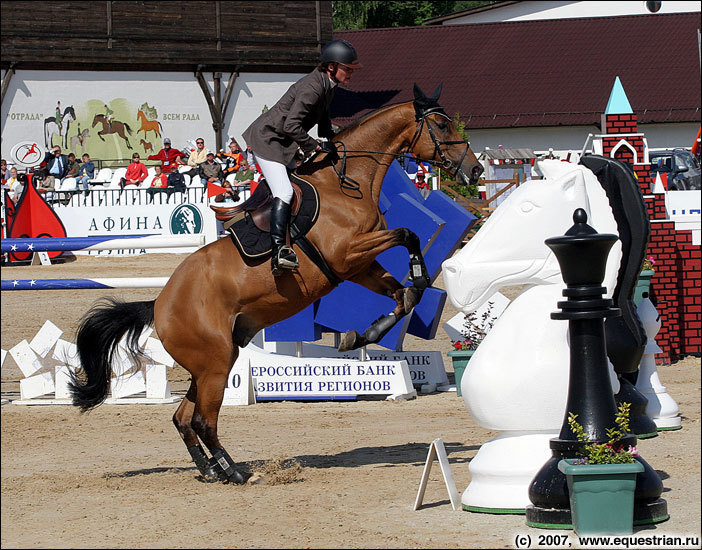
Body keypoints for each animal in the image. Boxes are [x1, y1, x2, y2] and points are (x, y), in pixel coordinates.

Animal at [69, 84, 484, 486]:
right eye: (442, 125)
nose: (475, 169)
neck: (345, 185)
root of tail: (158, 303)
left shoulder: (358, 267)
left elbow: (402, 295)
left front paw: (362, 335)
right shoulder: (346, 254)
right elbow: (408, 235)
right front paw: (416, 274)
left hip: (212, 362)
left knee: (184, 418)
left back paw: (210, 471)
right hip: (215, 363)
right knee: (203, 420)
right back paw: (235, 472)